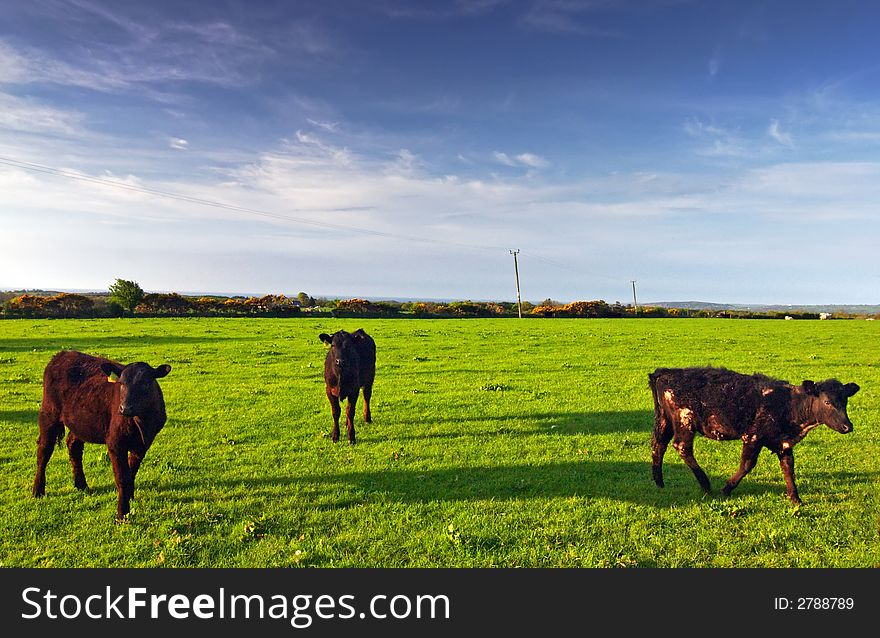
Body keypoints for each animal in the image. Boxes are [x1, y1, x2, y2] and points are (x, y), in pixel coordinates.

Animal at [32, 352, 172, 524]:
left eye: (145, 383)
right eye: (121, 383)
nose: (125, 408)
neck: (142, 422)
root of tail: (62, 354)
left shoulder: (142, 445)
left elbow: (131, 472)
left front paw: (130, 497)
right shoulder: (115, 443)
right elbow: (122, 477)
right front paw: (122, 514)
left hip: (80, 422)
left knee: (73, 446)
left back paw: (81, 484)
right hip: (48, 414)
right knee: (44, 452)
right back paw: (38, 490)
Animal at [648, 368, 860, 508]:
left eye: (845, 401)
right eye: (827, 402)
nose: (847, 426)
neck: (788, 403)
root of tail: (666, 372)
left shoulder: (783, 443)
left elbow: (788, 469)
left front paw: (795, 498)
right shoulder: (753, 437)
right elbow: (747, 465)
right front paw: (726, 488)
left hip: (666, 420)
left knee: (659, 445)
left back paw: (659, 482)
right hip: (684, 421)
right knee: (682, 447)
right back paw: (705, 483)